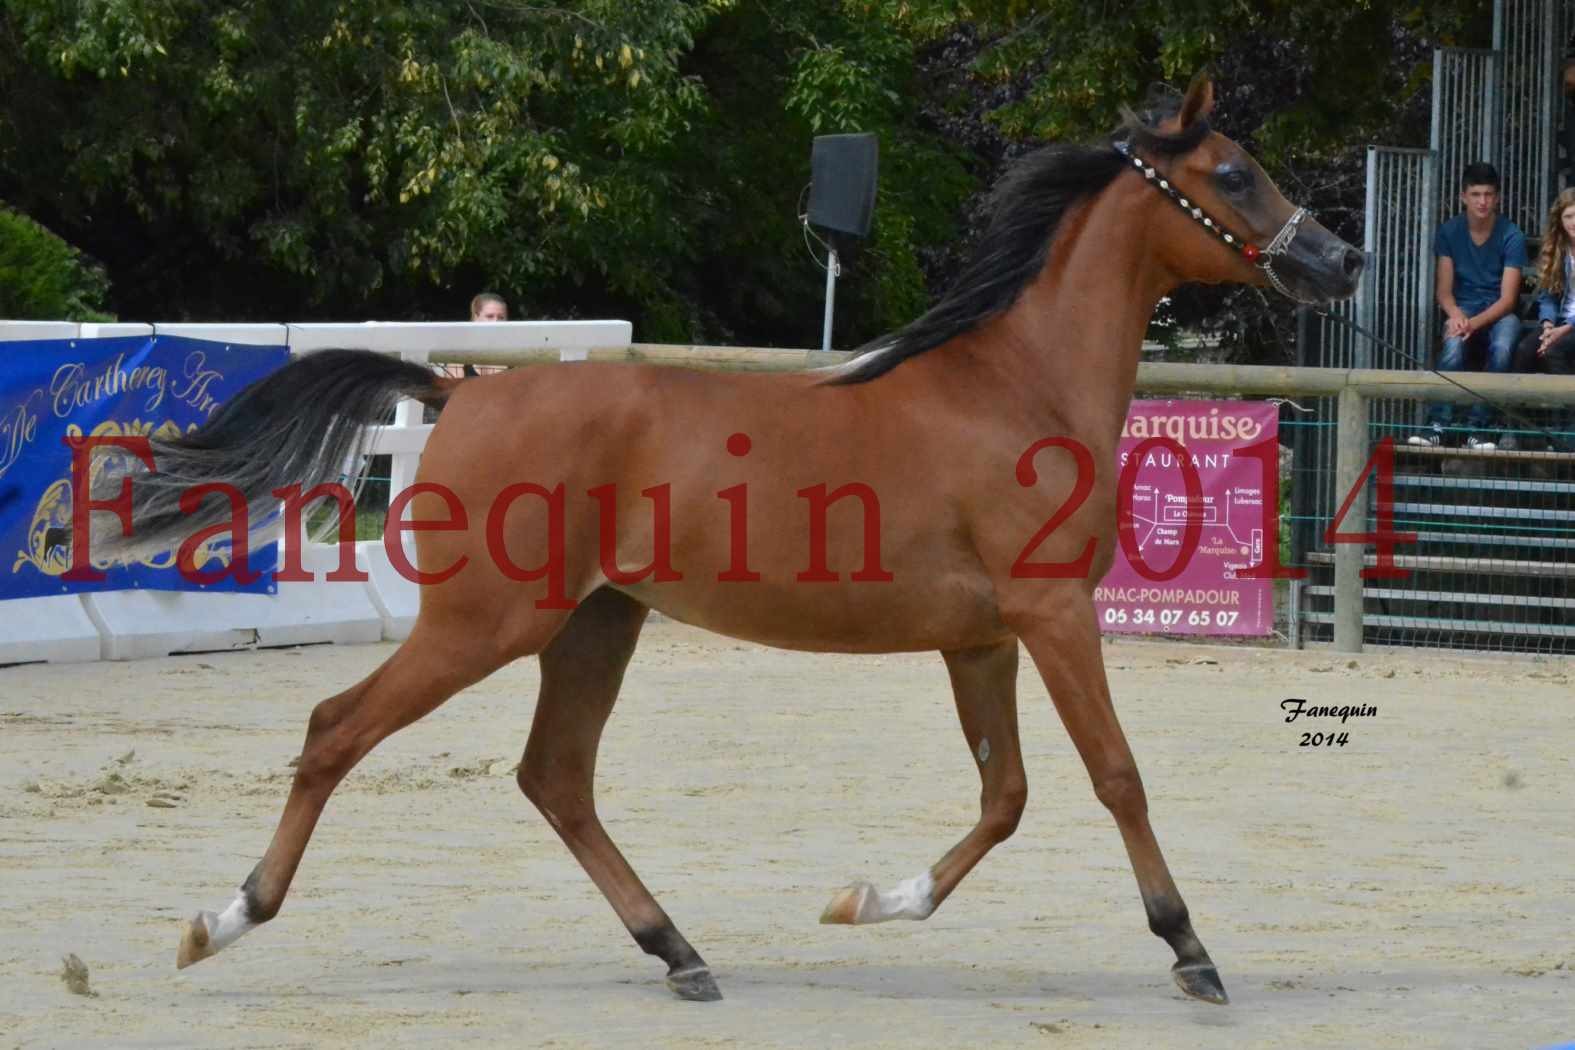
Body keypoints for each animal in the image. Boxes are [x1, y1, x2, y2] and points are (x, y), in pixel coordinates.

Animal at [98, 75, 1360, 1007]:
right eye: (1233, 174)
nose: (1337, 260)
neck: (1020, 386)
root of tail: (458, 394)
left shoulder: (984, 638)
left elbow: (1004, 796)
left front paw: (867, 901)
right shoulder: (1053, 617)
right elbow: (1115, 776)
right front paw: (1190, 949)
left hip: (596, 625)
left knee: (555, 777)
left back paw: (680, 952)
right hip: (486, 624)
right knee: (336, 732)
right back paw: (220, 921)